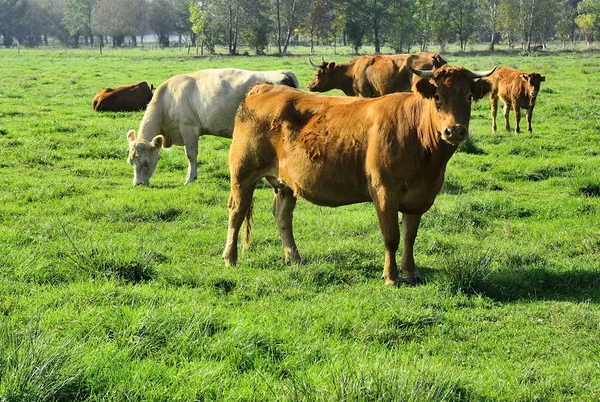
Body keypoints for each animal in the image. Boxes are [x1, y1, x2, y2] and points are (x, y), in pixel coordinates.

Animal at [125, 68, 298, 186]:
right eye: (130, 161)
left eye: (146, 161)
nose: (138, 184)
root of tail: (283, 73)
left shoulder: (189, 128)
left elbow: (191, 155)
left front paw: (190, 179)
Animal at [223, 65, 494, 286]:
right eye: (438, 97)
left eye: (469, 97)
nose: (455, 131)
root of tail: (263, 86)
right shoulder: (385, 193)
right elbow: (391, 237)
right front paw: (391, 277)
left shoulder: (419, 196)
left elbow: (409, 237)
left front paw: (410, 274)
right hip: (243, 173)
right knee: (237, 213)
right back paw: (230, 258)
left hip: (286, 183)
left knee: (282, 216)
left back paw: (294, 258)